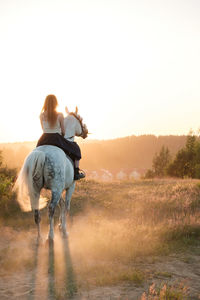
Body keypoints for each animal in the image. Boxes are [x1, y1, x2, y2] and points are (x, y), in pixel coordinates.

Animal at [14, 108, 88, 241]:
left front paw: (60, 225)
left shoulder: (58, 189)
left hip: (35, 189)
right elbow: (66, 206)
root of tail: (41, 154)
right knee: (51, 209)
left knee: (36, 211)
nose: (86, 132)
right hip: (56, 189)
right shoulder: (69, 187)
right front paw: (64, 229)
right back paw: (50, 235)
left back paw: (39, 237)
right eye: (80, 119)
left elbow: (61, 205)